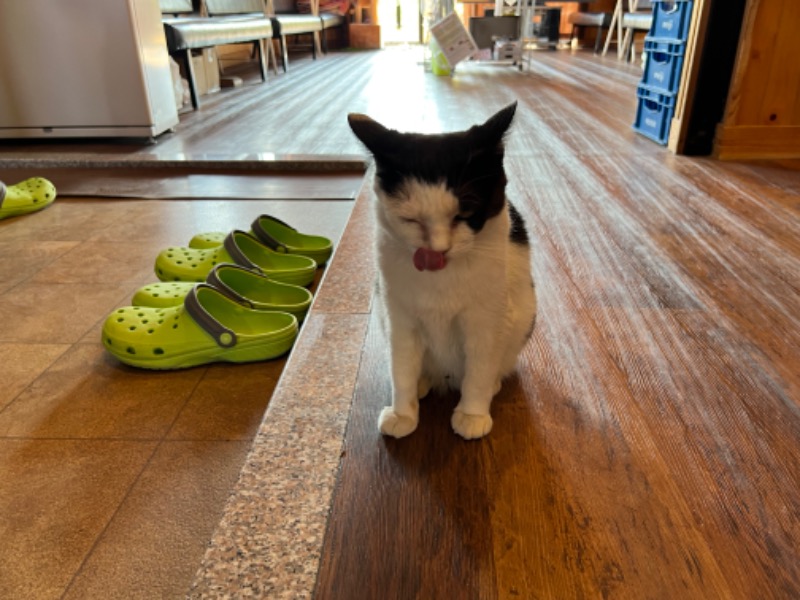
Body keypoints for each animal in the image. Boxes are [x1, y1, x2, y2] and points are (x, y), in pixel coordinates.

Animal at [346, 103, 536, 440]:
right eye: (410, 219)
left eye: (465, 214)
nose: (438, 251)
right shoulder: (400, 319)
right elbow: (402, 369)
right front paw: (403, 414)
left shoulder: (484, 321)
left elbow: (478, 370)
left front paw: (472, 414)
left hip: (519, 321)